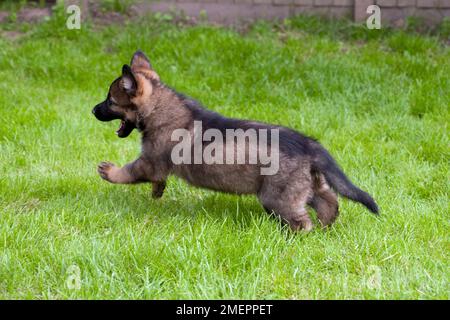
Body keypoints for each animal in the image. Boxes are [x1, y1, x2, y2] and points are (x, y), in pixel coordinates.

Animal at [90, 50, 376, 230]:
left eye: (110, 101)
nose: (92, 111)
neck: (157, 106)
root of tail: (308, 144)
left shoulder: (149, 160)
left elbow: (130, 171)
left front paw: (110, 171)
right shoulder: (156, 164)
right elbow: (157, 179)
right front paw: (157, 191)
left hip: (278, 197)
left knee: (301, 220)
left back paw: (298, 237)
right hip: (306, 186)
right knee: (330, 202)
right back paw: (325, 228)